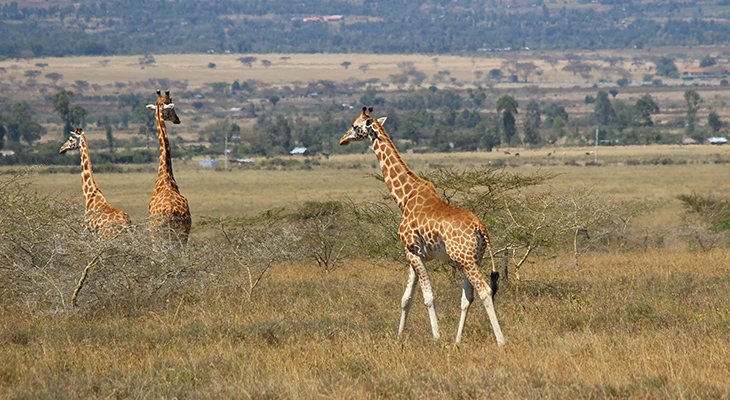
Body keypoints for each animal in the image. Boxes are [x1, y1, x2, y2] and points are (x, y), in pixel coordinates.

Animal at [144, 90, 189, 247]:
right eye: (171, 109)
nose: (178, 120)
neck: (165, 174)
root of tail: (169, 210)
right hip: (179, 234)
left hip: (159, 235)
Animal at [338, 108, 504, 346]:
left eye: (354, 126)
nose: (342, 140)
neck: (404, 197)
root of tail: (480, 227)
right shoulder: (414, 254)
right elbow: (406, 298)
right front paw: (399, 338)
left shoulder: (413, 251)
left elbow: (428, 297)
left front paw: (436, 338)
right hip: (471, 259)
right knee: (468, 297)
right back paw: (457, 340)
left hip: (466, 260)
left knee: (485, 291)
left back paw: (501, 341)